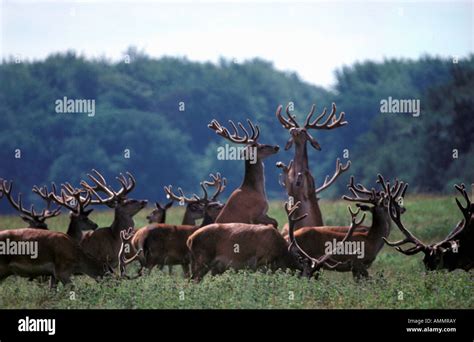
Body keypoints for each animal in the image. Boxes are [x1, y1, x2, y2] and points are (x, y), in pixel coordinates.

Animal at [276, 103, 350, 234]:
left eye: (303, 130)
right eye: (295, 128)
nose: (292, 129)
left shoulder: (309, 189)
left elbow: (305, 180)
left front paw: (300, 176)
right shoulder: (289, 189)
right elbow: (286, 175)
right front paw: (280, 164)